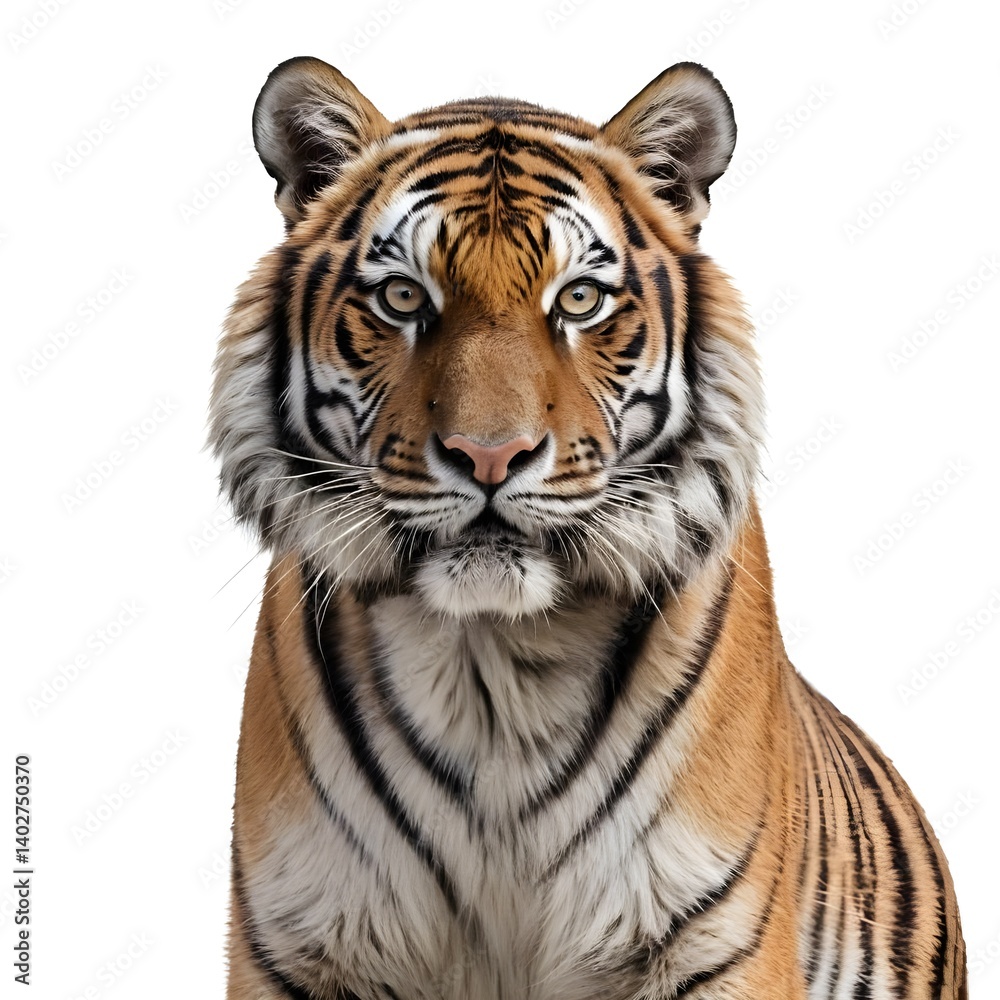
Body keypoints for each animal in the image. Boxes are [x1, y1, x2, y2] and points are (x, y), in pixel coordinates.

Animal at [211, 56, 968, 999]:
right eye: (401, 297)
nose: (489, 454)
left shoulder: (708, 941)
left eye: (577, 299)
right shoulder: (304, 944)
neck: (490, 665)